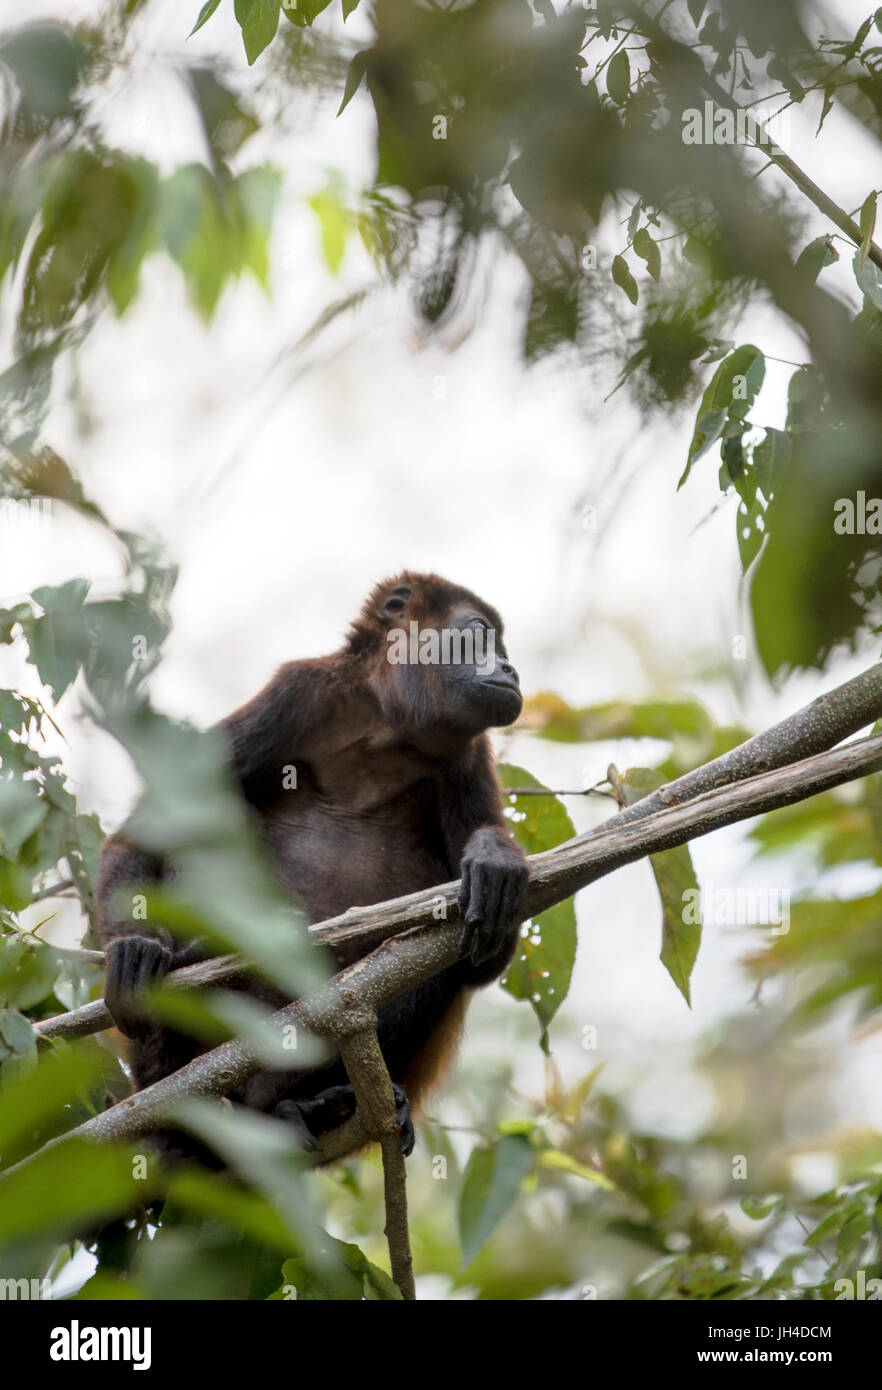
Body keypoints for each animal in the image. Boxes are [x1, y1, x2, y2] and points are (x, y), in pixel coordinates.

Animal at [96, 572, 528, 1161]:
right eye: (480, 635)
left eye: (502, 647)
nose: (510, 669)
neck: (390, 735)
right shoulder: (297, 694)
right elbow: (143, 836)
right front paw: (135, 944)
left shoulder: (469, 755)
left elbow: (483, 956)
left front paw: (494, 860)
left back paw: (305, 1108)